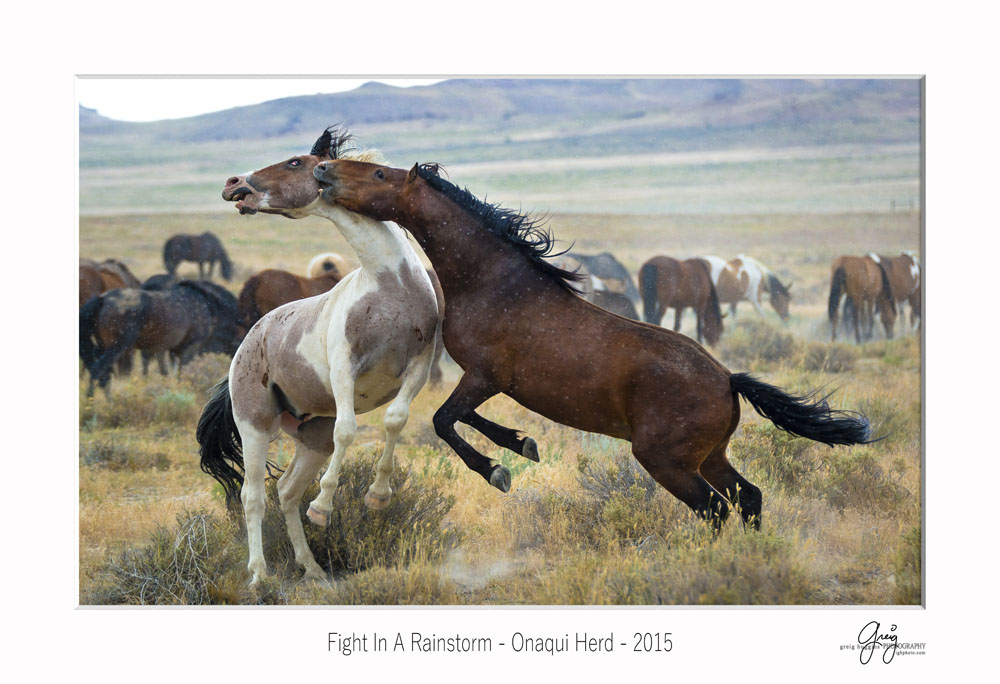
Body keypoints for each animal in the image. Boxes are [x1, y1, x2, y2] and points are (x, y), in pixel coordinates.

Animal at [78, 278, 242, 396]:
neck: (207, 306)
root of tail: (101, 299)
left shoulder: (163, 349)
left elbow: (166, 373)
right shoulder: (188, 348)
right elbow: (182, 373)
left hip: (103, 346)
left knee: (104, 374)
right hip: (117, 348)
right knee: (99, 370)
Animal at [199, 130, 442, 588]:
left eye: (295, 162)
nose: (233, 184)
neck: (389, 289)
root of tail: (249, 341)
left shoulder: (418, 368)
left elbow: (395, 420)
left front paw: (378, 497)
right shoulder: (345, 368)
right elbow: (348, 431)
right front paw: (325, 508)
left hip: (311, 435)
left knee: (287, 491)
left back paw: (310, 568)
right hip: (254, 424)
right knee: (253, 496)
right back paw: (259, 576)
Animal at [316, 155, 872, 536]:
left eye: (379, 175)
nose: (324, 170)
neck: (493, 282)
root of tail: (728, 381)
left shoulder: (484, 376)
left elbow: (444, 420)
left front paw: (498, 471)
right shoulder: (491, 382)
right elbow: (465, 419)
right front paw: (522, 444)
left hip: (667, 461)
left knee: (715, 509)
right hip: (710, 455)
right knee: (748, 497)